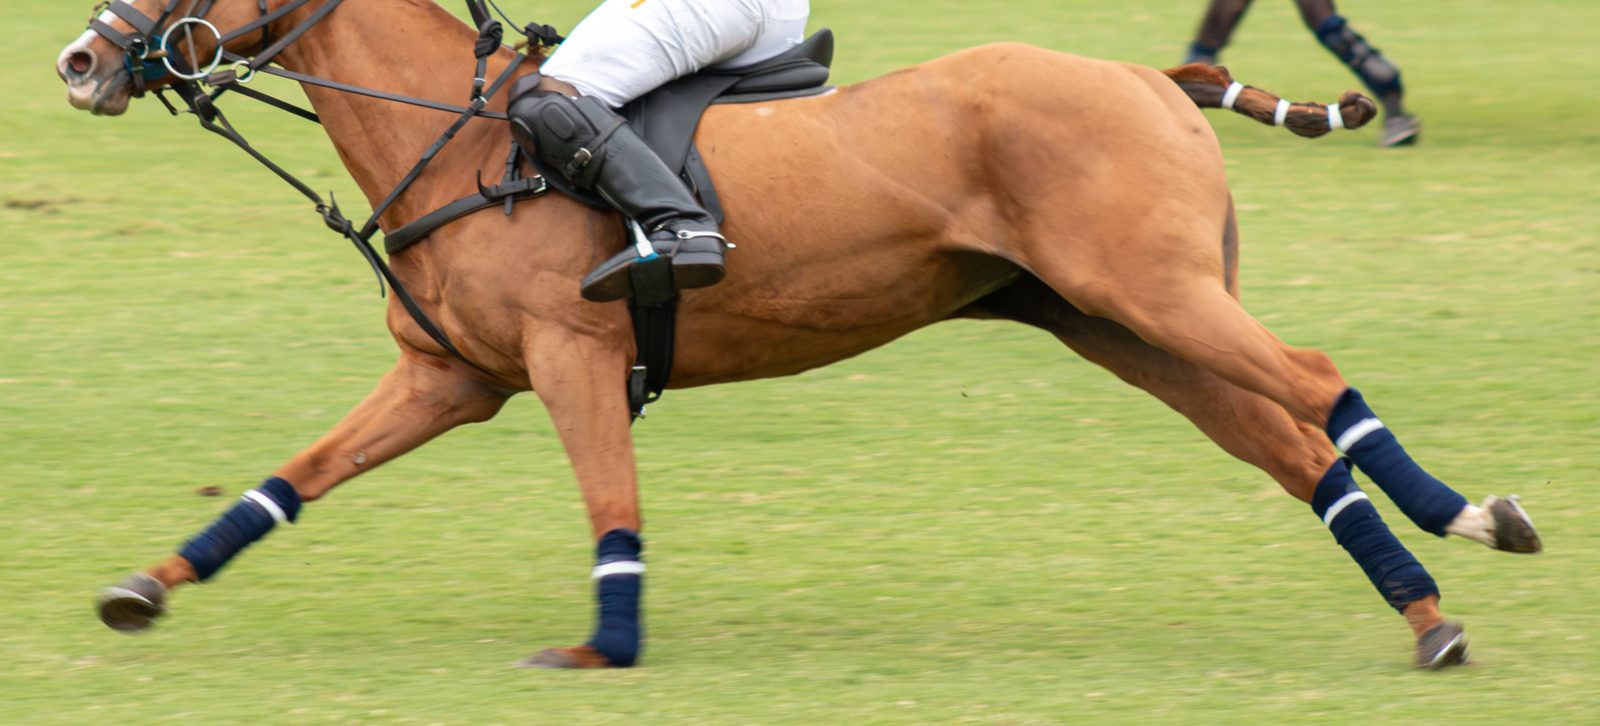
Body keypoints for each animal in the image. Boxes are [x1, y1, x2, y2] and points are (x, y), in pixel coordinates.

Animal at [56, 0, 1539, 670]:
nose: (78, 60)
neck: (461, 135)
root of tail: (1141, 71)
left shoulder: (570, 358)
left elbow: (609, 498)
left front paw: (604, 648)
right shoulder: (450, 375)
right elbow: (294, 476)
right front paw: (143, 588)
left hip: (1160, 296)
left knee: (1318, 382)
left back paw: (1481, 522)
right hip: (1121, 321)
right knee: (1294, 451)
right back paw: (1428, 607)